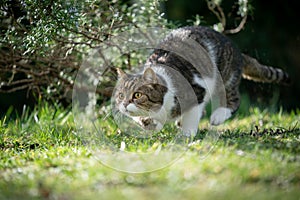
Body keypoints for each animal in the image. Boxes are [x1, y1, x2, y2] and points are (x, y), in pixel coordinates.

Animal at [113, 26, 290, 136]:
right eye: (121, 95)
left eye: (137, 95)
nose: (124, 104)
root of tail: (237, 51)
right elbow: (142, 119)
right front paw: (151, 123)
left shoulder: (198, 90)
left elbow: (193, 113)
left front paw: (187, 133)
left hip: (225, 77)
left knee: (234, 99)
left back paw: (217, 116)